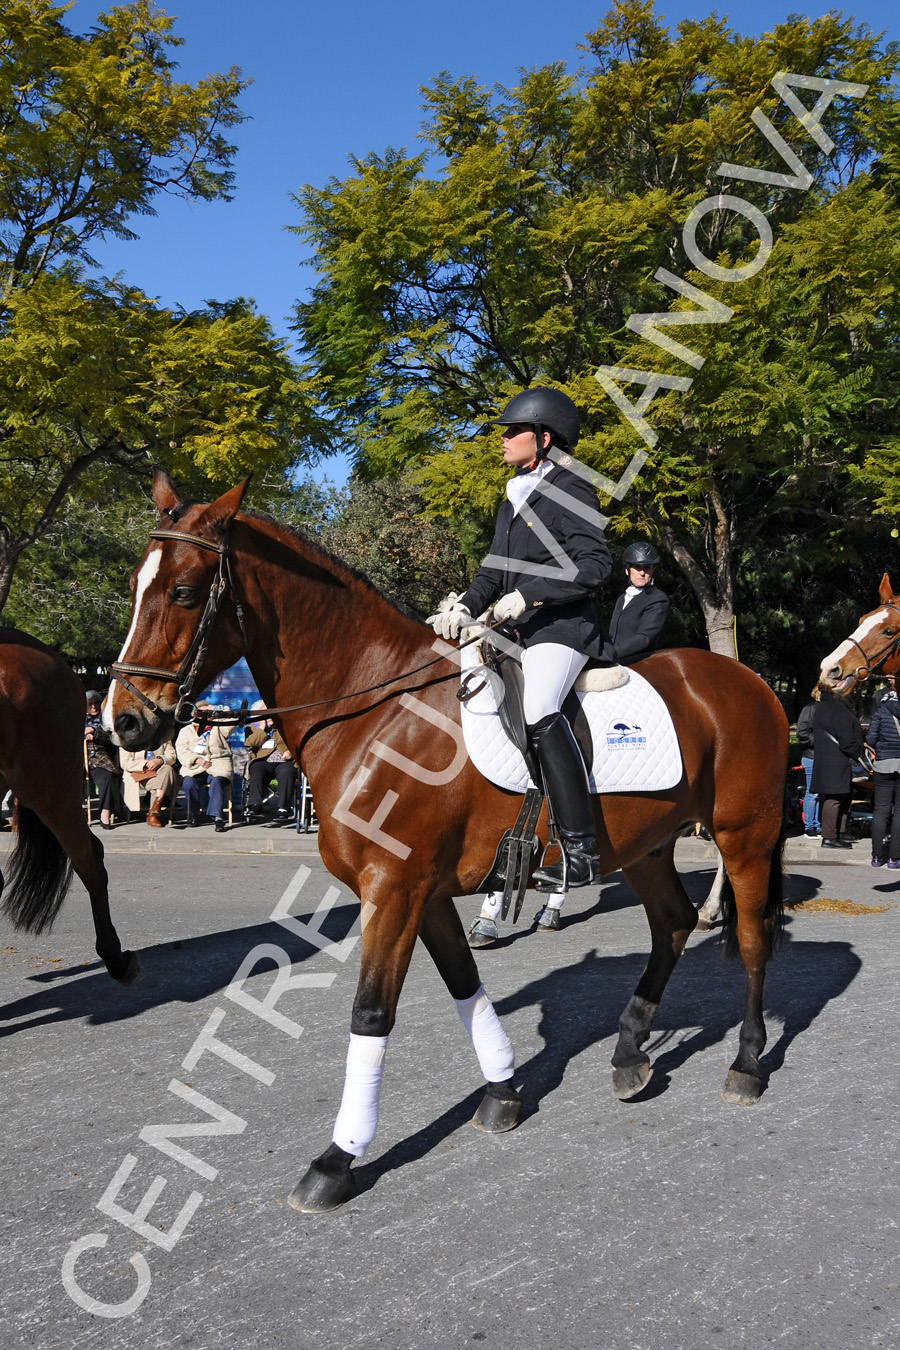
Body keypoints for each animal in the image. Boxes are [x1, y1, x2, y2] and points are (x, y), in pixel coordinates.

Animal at [107, 472, 788, 1215]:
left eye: (183, 592)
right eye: (136, 584)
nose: (125, 723)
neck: (375, 712)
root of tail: (749, 680)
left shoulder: (393, 890)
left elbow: (371, 1013)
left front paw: (338, 1160)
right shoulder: (423, 894)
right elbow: (465, 985)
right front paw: (503, 1093)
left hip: (744, 836)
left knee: (751, 938)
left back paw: (746, 1064)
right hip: (648, 846)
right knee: (672, 923)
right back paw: (631, 1053)